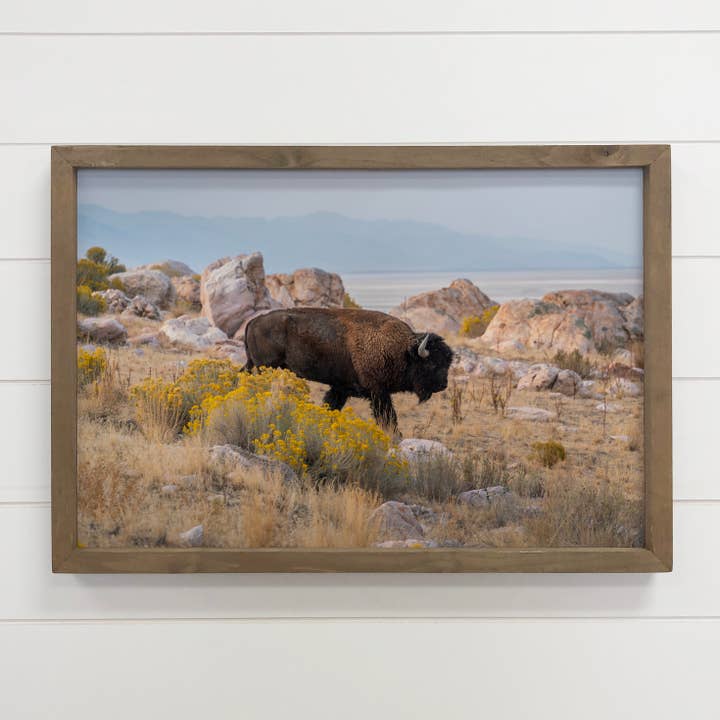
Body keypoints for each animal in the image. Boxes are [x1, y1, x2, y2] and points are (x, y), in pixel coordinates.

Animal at [243, 308, 454, 433]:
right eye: (432, 364)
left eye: (447, 363)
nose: (443, 385)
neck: (401, 350)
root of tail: (254, 321)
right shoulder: (378, 393)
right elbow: (388, 418)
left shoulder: (341, 389)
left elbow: (330, 406)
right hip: (266, 367)